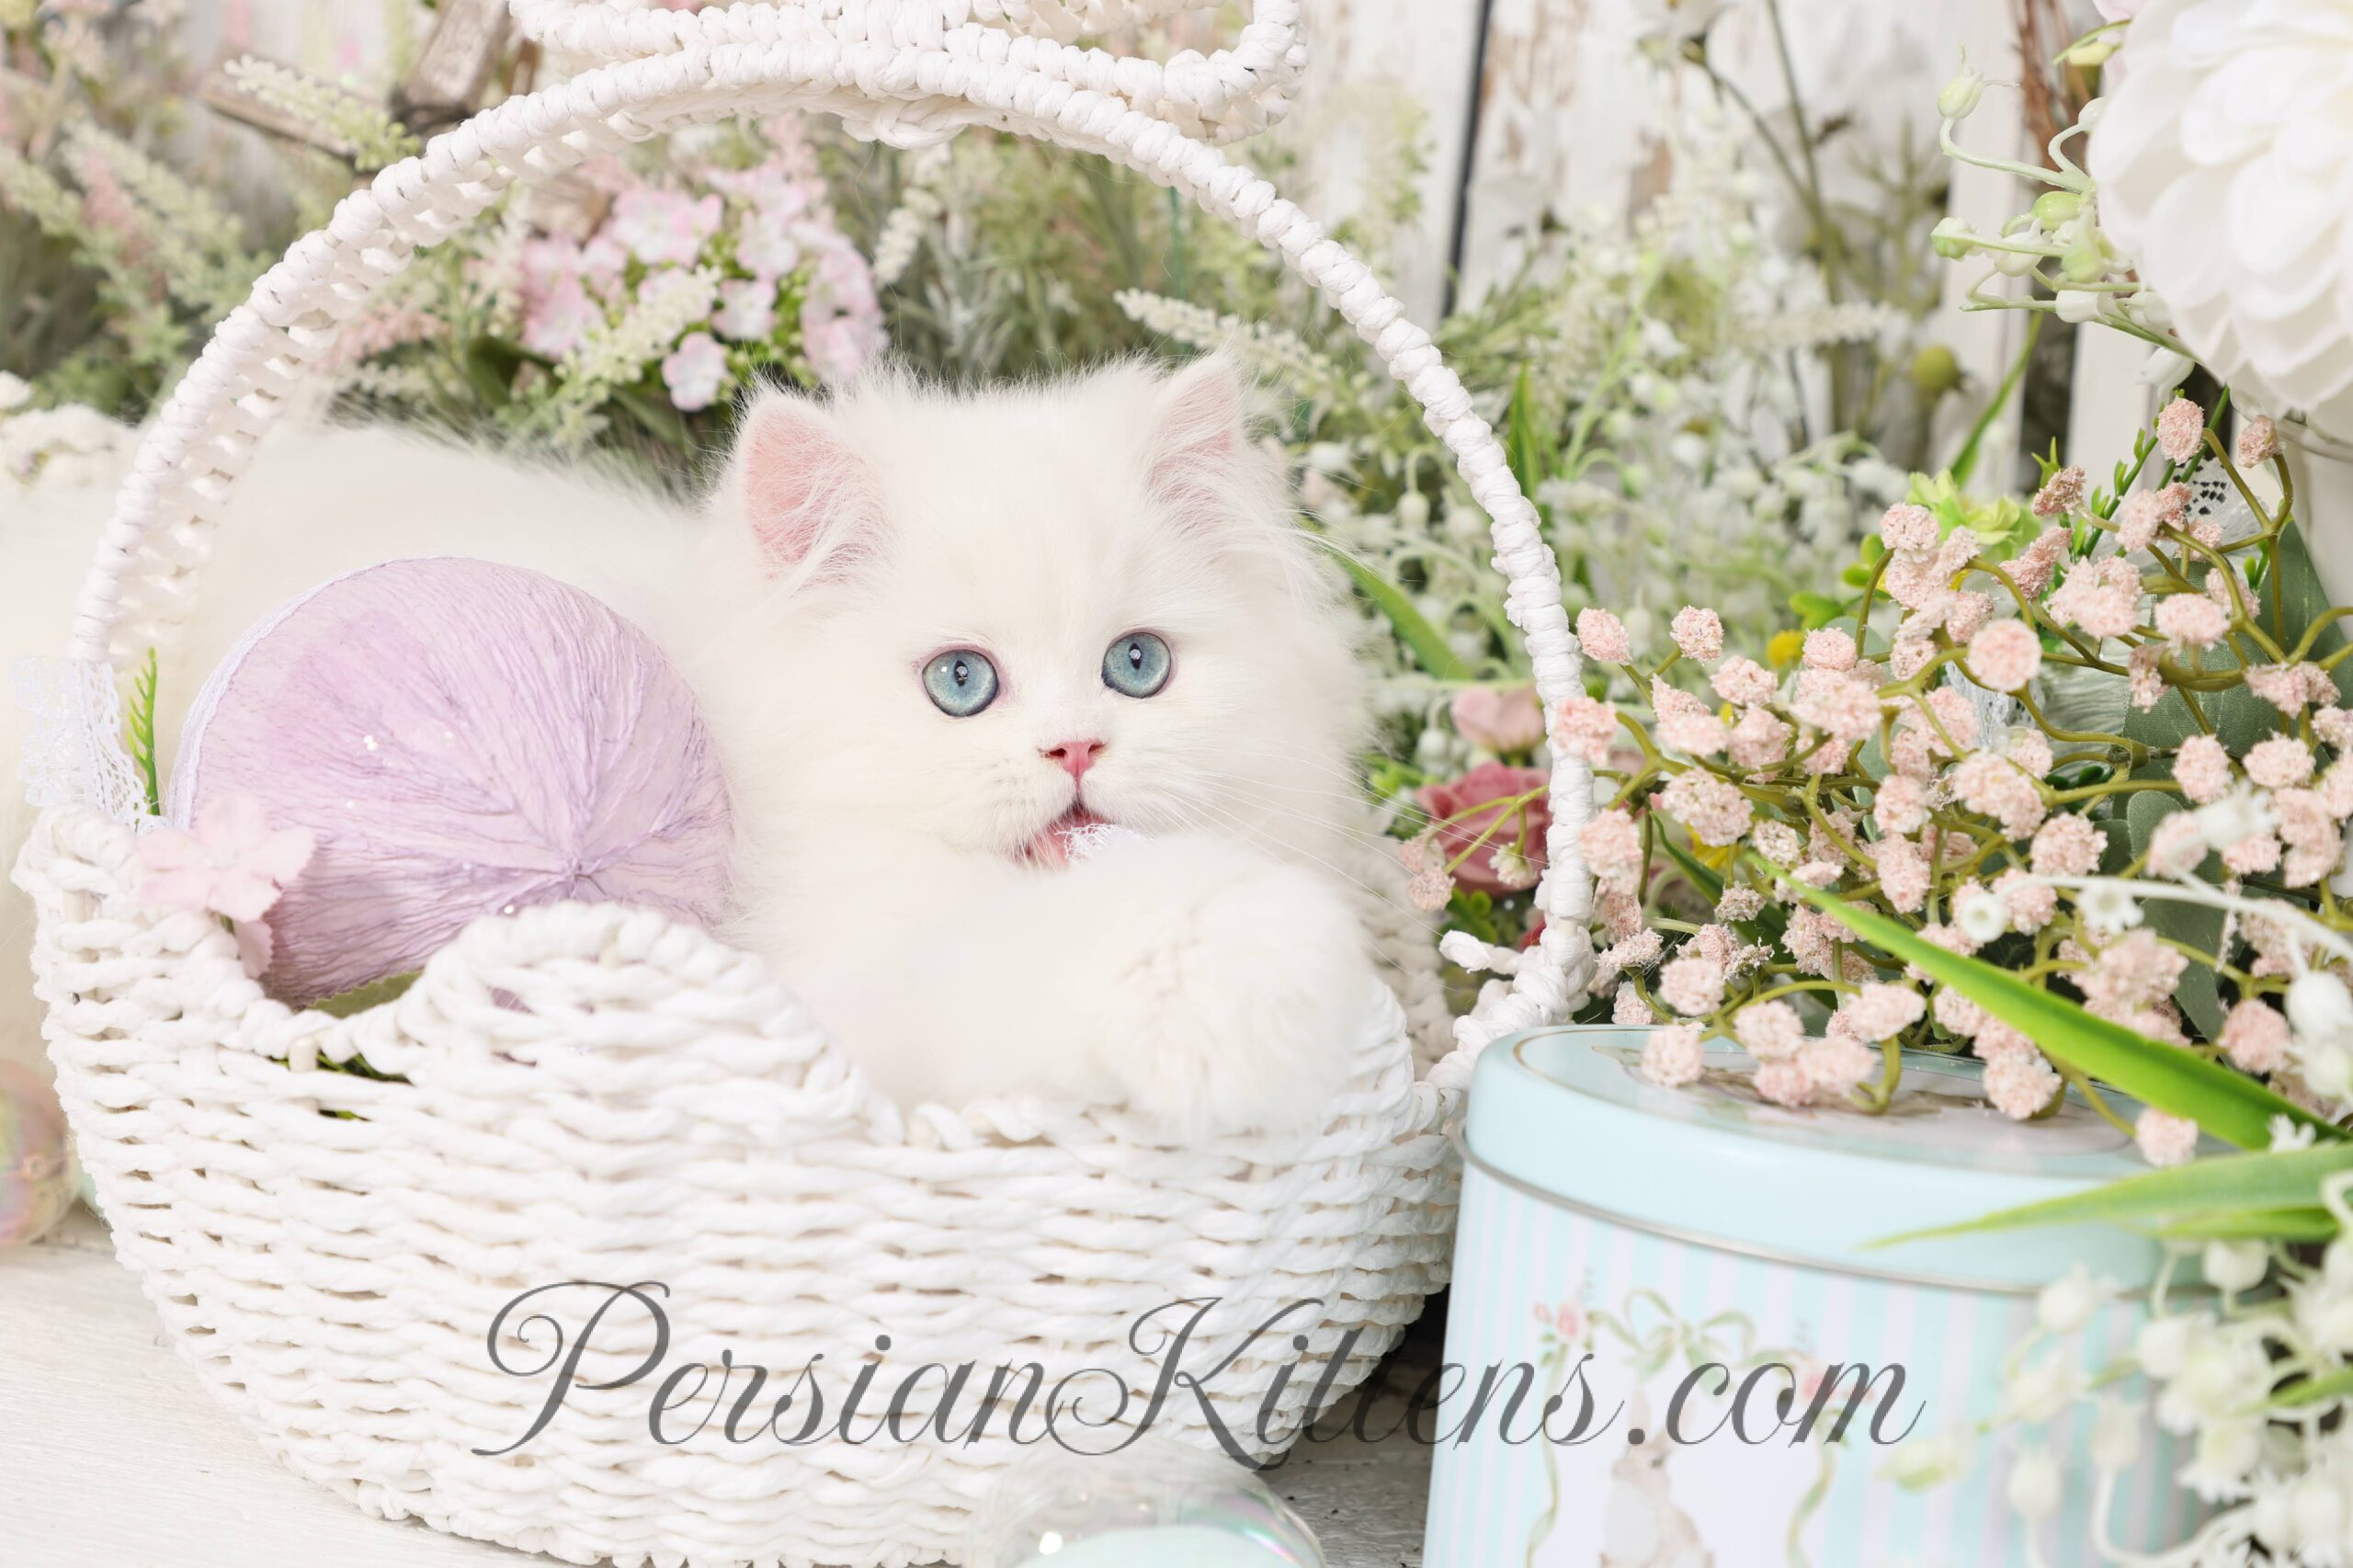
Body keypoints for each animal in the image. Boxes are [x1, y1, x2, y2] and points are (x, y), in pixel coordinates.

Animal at [0, 357, 1389, 1135]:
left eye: (1137, 666)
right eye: (960, 683)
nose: (1077, 751)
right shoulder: (842, 994)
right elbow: (1074, 944)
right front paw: (1259, 989)